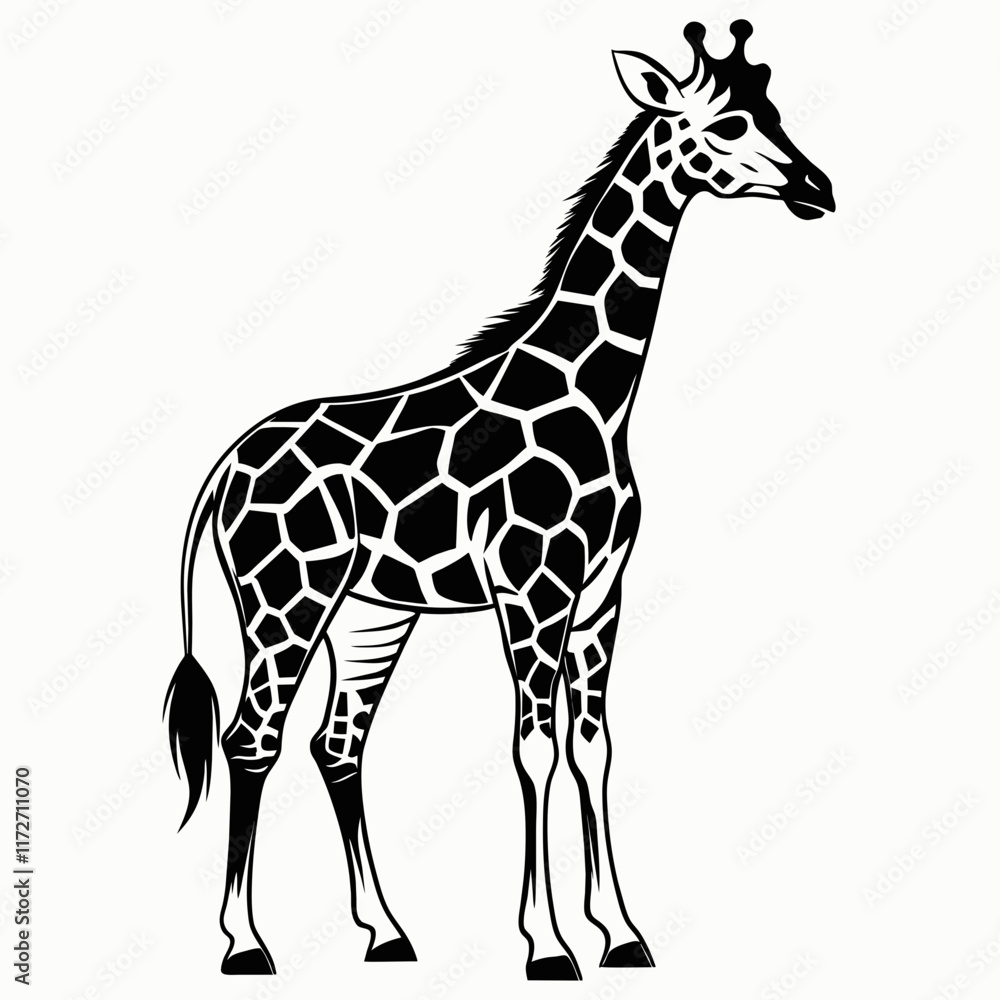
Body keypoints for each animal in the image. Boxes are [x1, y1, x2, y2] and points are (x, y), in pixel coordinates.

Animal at [164, 20, 834, 981]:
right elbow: (534, 748)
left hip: (370, 610)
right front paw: (548, 946)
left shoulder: (599, 594)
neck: (598, 394)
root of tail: (224, 467)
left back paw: (386, 932)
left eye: (774, 112)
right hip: (284, 599)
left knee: (338, 741)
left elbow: (591, 747)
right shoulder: (532, 588)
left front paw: (621, 935)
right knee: (252, 737)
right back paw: (246, 944)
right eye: (728, 124)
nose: (819, 189)